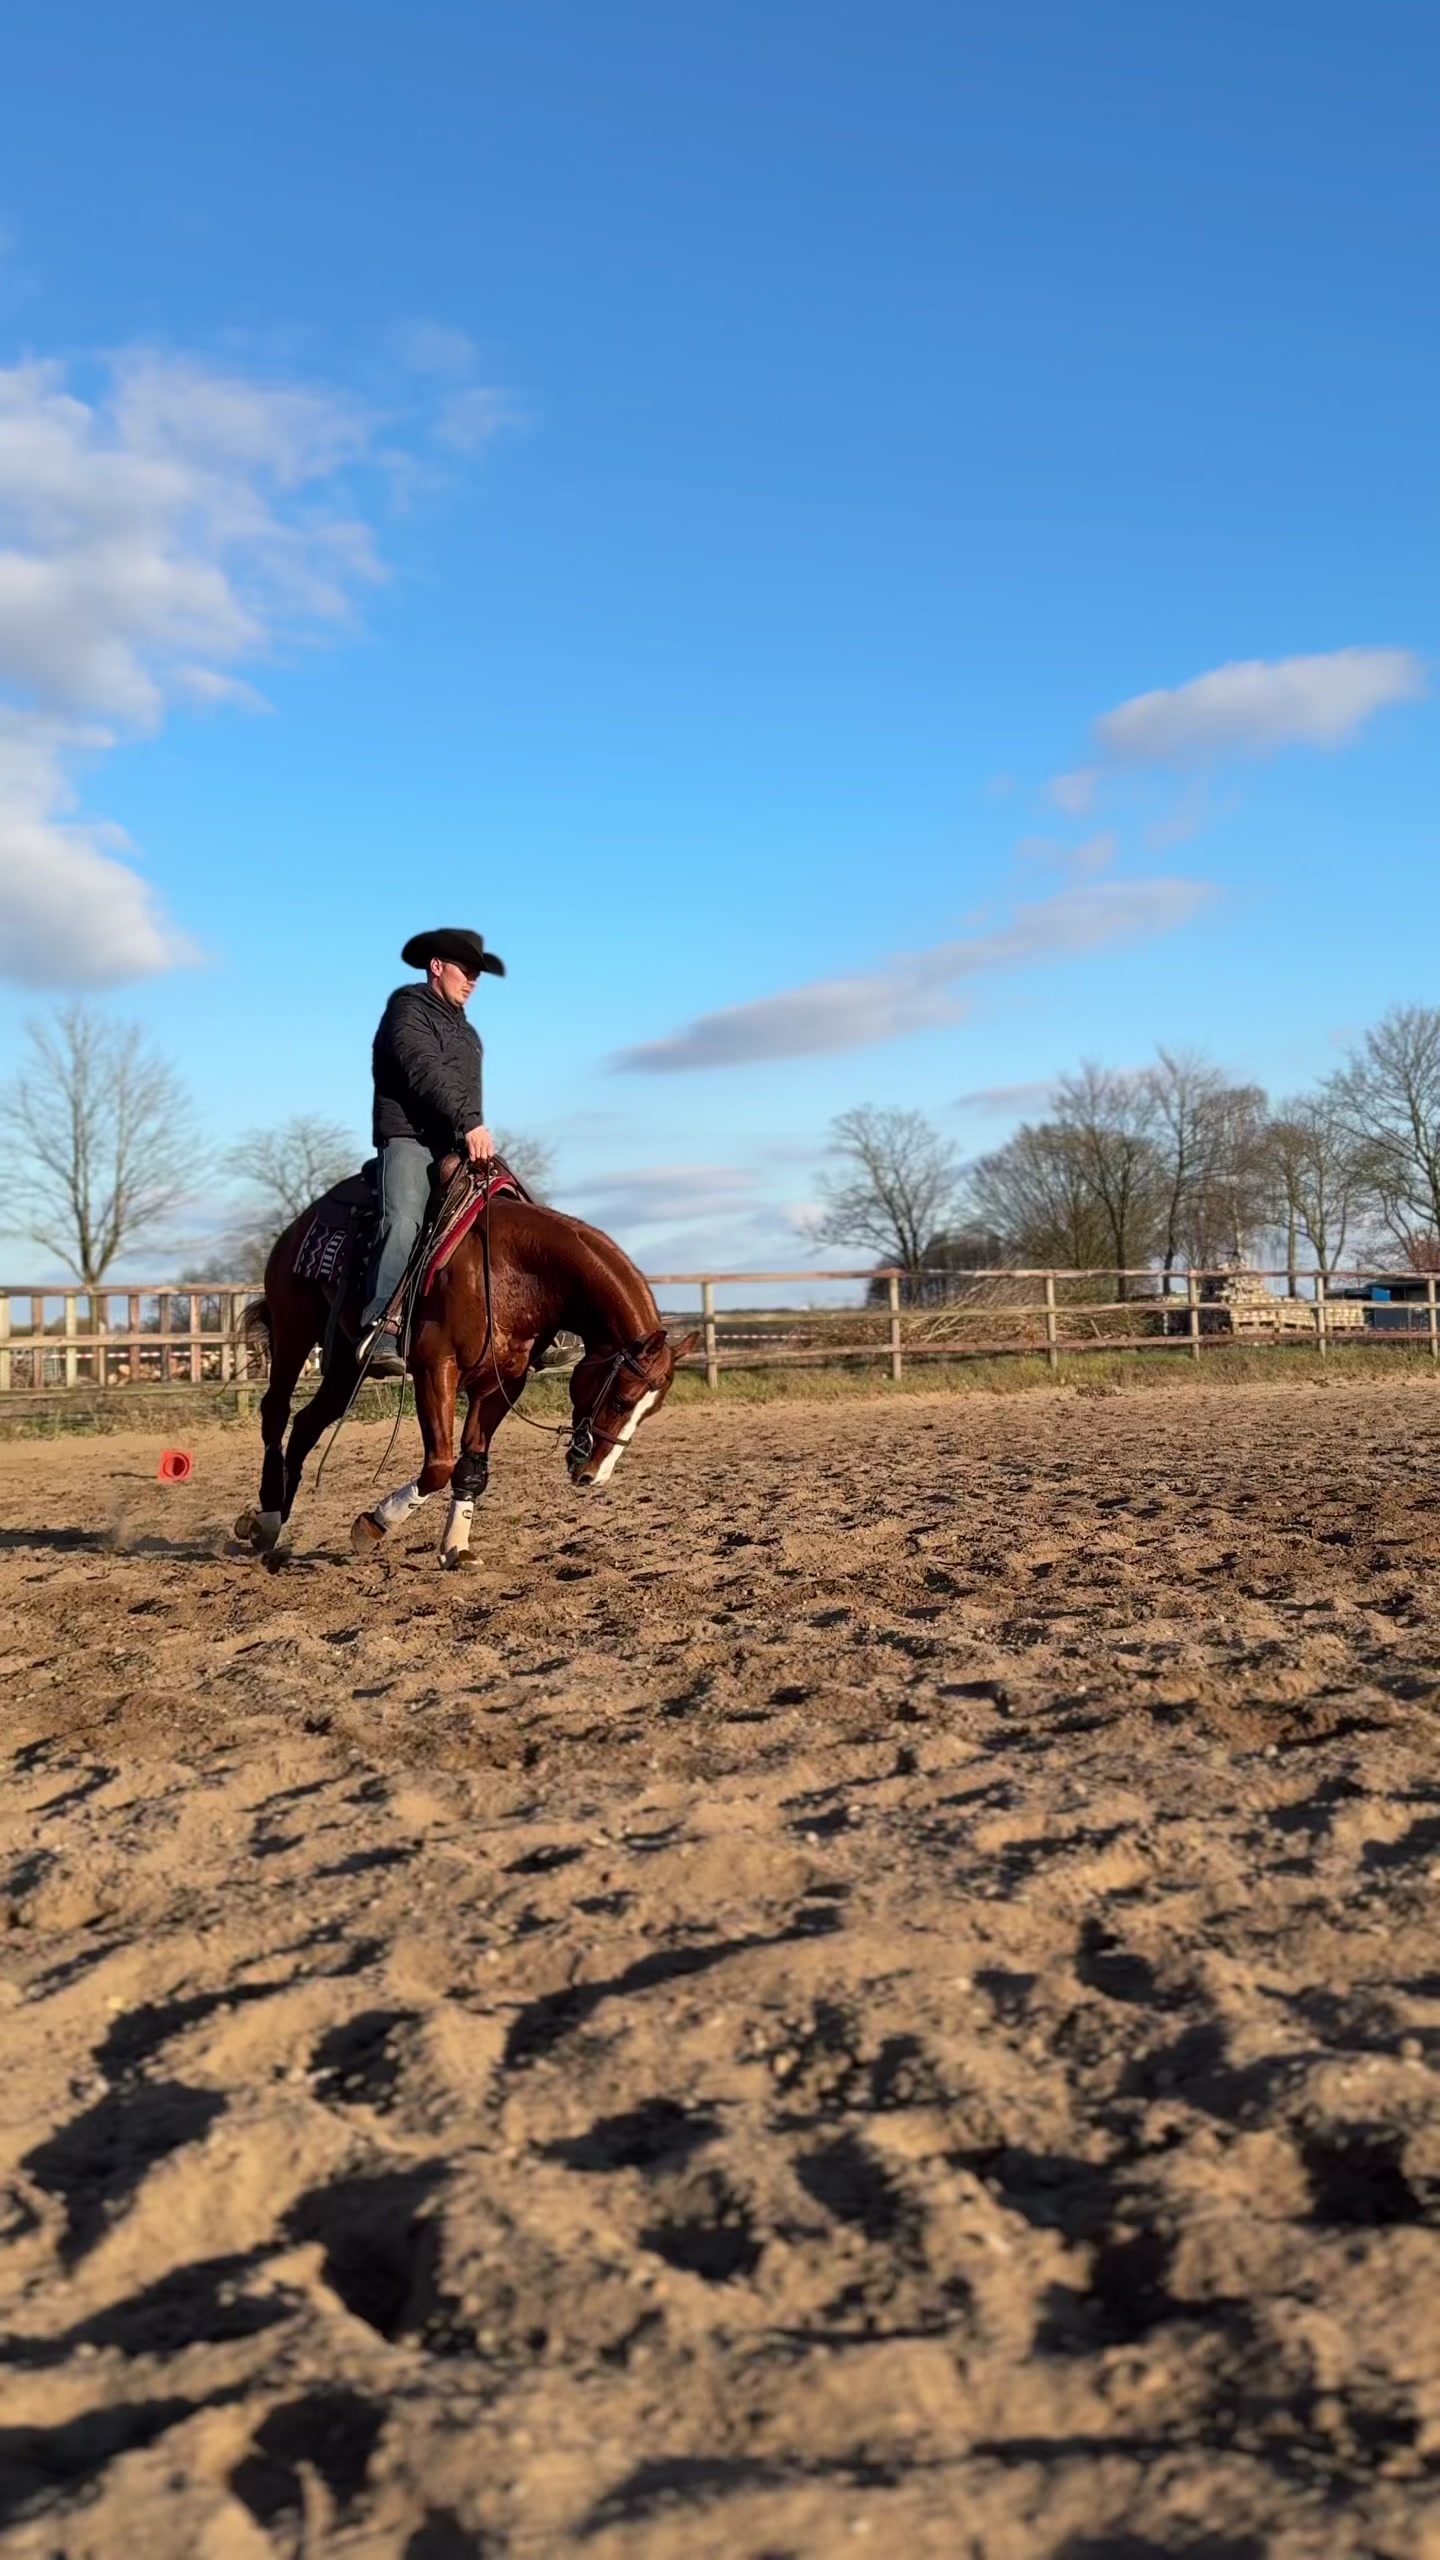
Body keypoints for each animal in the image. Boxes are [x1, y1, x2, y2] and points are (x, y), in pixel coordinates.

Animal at [234, 1178, 699, 1569]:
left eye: (649, 1413)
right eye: (621, 1399)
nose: (592, 1477)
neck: (516, 1270)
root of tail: (302, 1221)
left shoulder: (503, 1382)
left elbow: (471, 1466)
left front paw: (456, 1546)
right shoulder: (436, 1369)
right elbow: (439, 1465)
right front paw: (374, 1524)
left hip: (347, 1364)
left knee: (307, 1424)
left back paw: (272, 1520)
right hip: (294, 1329)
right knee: (276, 1412)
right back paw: (268, 1518)